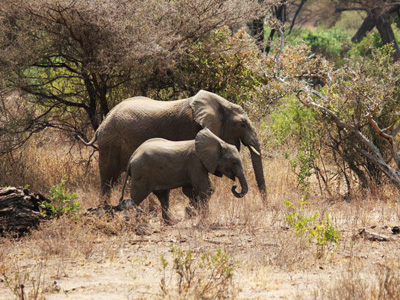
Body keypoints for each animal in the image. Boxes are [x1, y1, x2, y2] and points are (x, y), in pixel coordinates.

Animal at [82, 88, 266, 198]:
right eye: (242, 125)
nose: (265, 204)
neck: (219, 103)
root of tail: (101, 126)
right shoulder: (191, 128)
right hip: (110, 143)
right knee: (107, 180)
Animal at [119, 127, 247, 224]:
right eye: (234, 162)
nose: (235, 186)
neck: (218, 142)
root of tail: (131, 158)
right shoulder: (195, 163)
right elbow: (205, 188)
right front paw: (204, 218)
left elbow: (189, 190)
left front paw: (194, 211)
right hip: (141, 175)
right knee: (136, 198)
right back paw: (131, 222)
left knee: (163, 196)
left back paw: (170, 223)